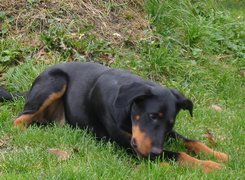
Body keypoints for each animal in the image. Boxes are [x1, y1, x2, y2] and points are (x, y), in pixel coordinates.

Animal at [0, 62, 228, 173]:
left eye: (169, 124)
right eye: (152, 115)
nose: (155, 152)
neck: (128, 112)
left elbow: (192, 141)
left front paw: (217, 155)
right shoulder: (132, 147)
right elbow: (179, 155)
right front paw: (211, 166)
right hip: (55, 82)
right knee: (19, 119)